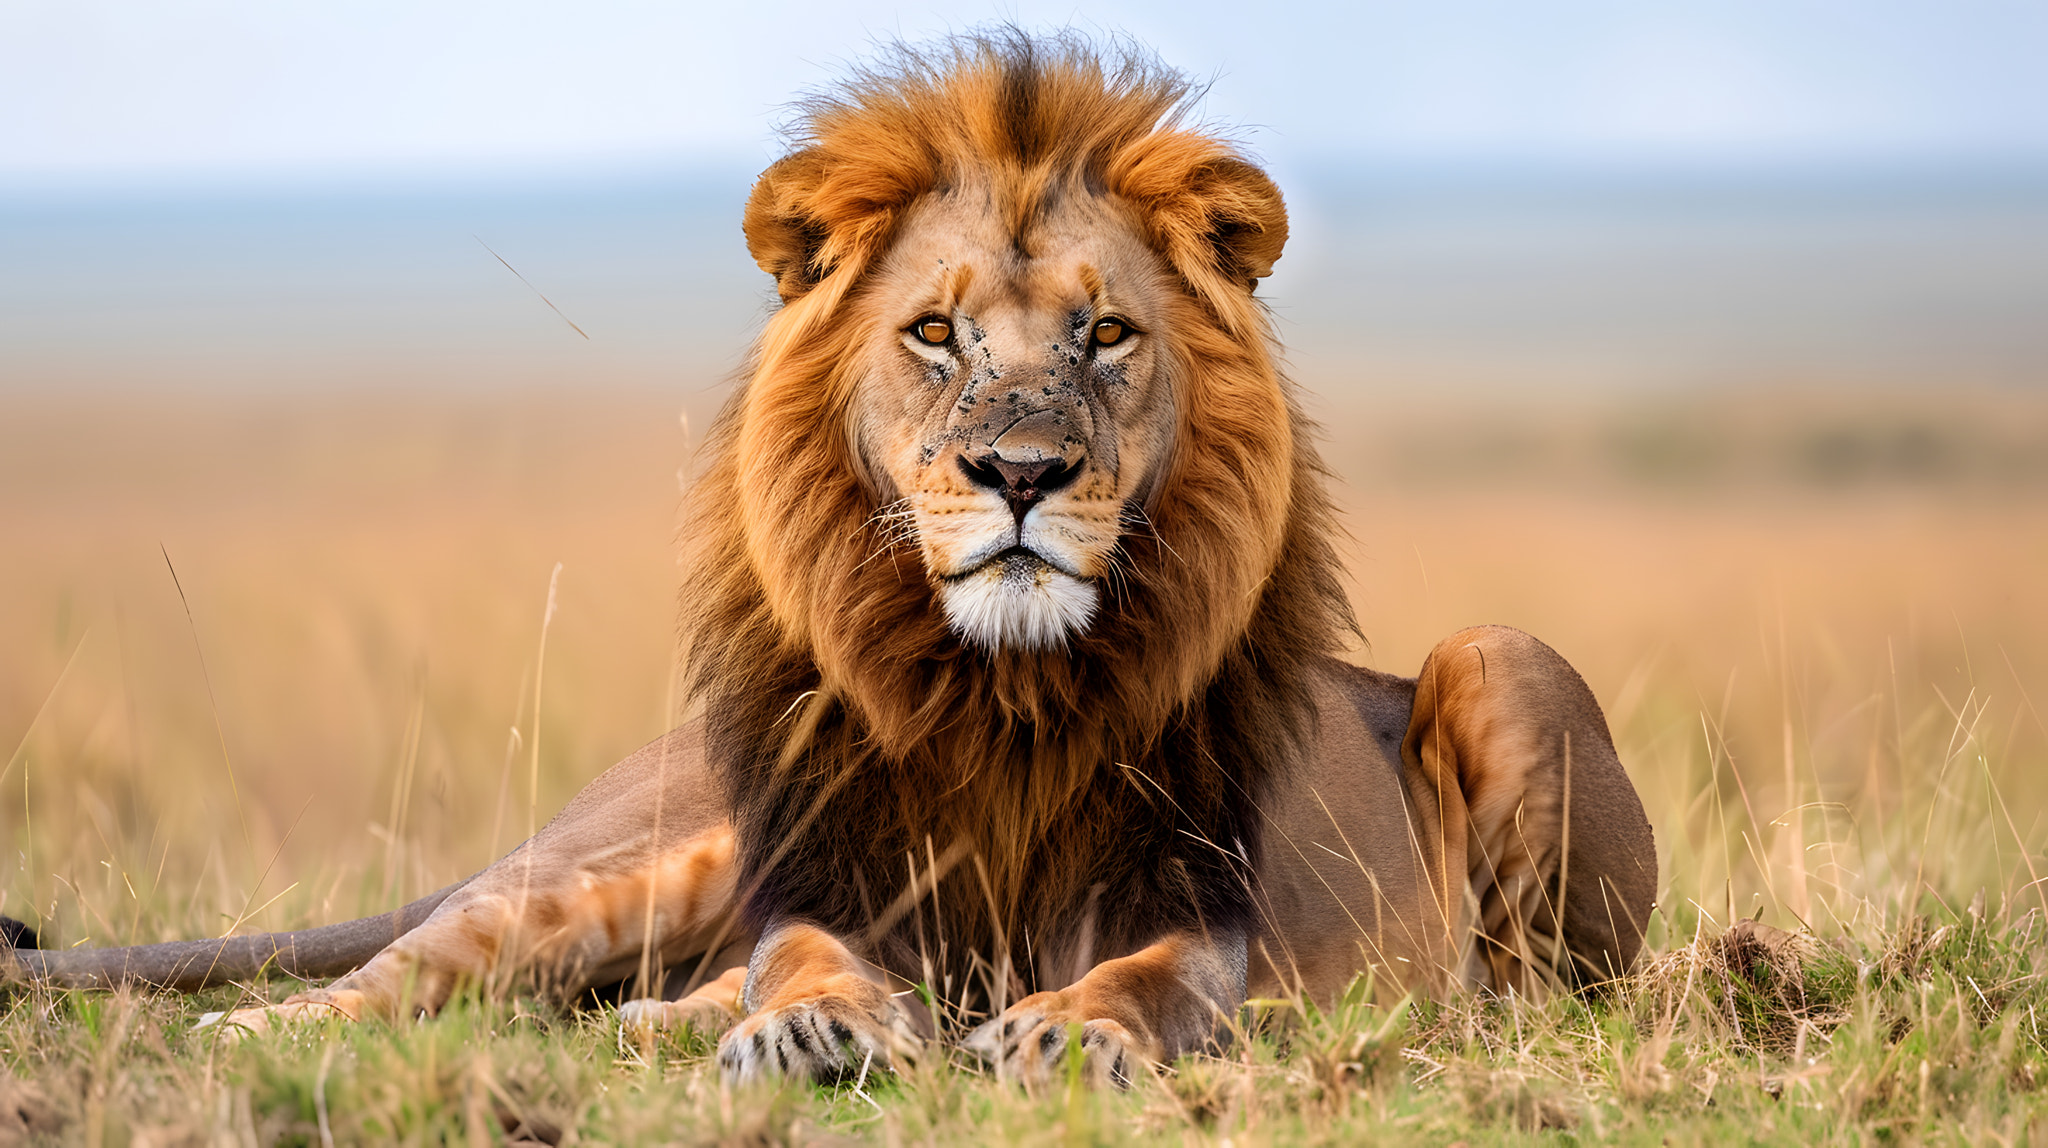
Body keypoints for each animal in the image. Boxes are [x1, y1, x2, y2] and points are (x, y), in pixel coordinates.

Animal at [3, 34, 1656, 1087]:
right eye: (934, 332)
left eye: (1107, 333)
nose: (1021, 475)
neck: (998, 697)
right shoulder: (822, 895)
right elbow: (797, 967)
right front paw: (811, 1030)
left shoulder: (1195, 918)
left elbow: (1140, 982)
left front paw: (1067, 1031)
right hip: (634, 858)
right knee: (432, 962)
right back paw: (261, 1041)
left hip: (1505, 658)